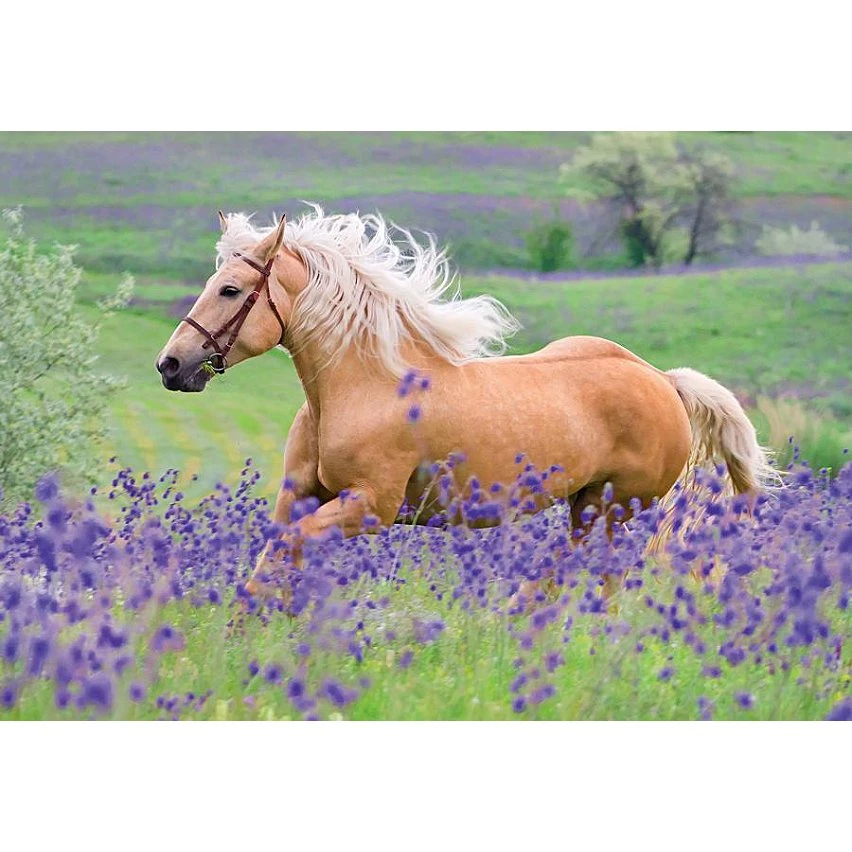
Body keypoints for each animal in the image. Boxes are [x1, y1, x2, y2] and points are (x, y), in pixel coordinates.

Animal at [155, 205, 776, 600]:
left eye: (230, 290)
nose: (171, 365)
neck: (362, 386)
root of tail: (662, 380)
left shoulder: (370, 508)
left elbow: (288, 555)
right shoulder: (302, 497)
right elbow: (271, 564)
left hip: (614, 507)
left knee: (589, 573)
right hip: (587, 505)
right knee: (585, 573)